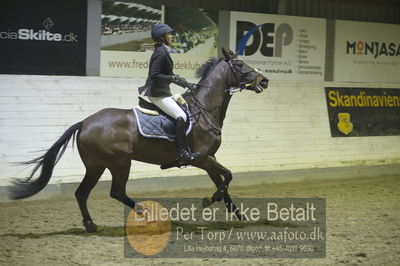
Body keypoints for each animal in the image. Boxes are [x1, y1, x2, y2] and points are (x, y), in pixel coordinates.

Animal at [8, 48, 268, 233]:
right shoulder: (201, 158)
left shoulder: (209, 158)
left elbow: (223, 183)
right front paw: (210, 201)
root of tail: (85, 122)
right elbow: (228, 177)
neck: (204, 110)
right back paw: (148, 214)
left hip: (95, 165)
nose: (264, 81)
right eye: (239, 65)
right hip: (120, 163)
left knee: (82, 193)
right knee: (116, 192)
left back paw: (91, 225)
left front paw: (237, 214)